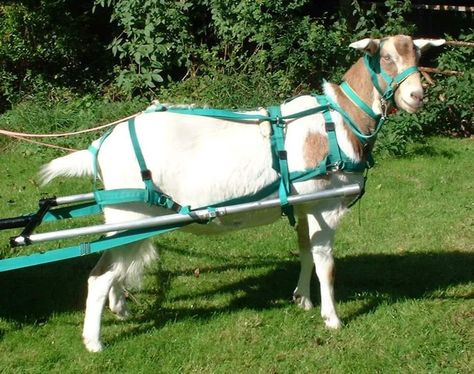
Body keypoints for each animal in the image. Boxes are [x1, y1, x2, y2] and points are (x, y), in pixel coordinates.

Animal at [40, 34, 444, 350]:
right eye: (386, 57)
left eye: (418, 57)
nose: (416, 95)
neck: (338, 120)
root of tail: (100, 146)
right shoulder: (324, 204)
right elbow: (325, 263)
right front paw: (333, 319)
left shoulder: (303, 205)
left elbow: (304, 252)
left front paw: (302, 300)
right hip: (131, 216)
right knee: (99, 276)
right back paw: (94, 342)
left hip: (128, 221)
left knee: (112, 268)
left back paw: (120, 309)